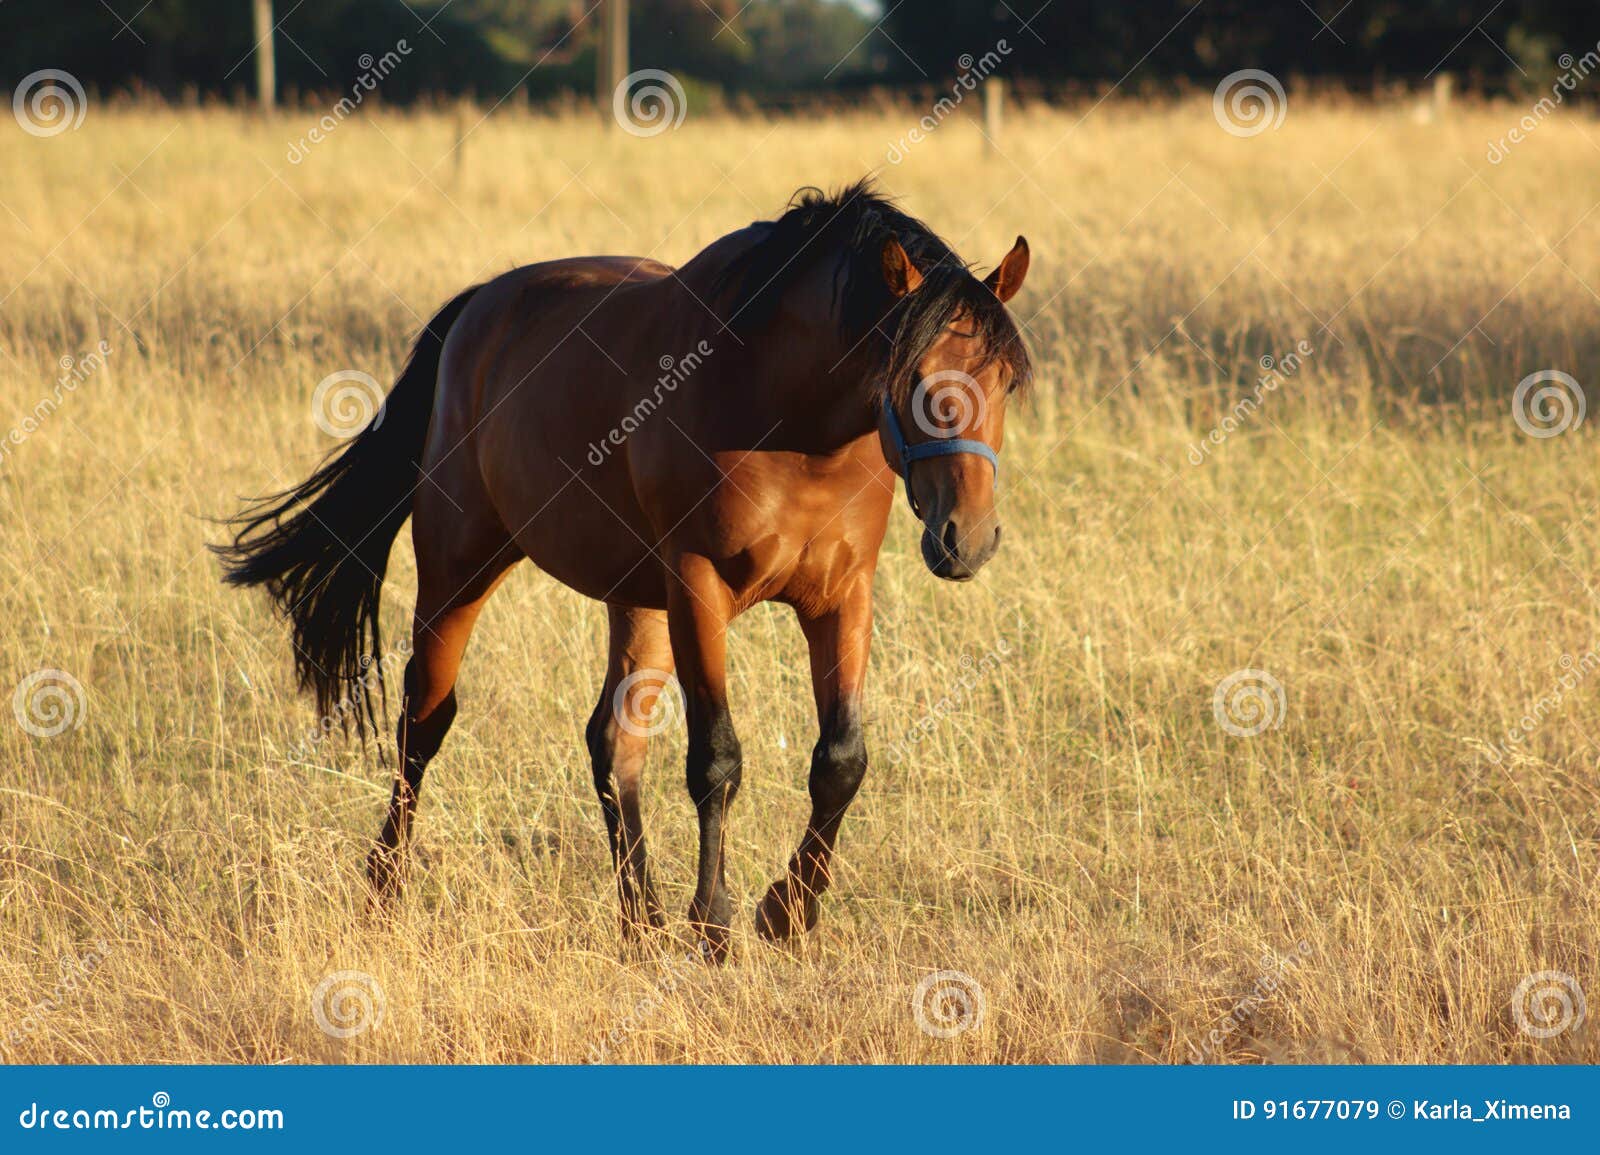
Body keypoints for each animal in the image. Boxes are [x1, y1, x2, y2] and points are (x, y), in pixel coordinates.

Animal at [216, 180, 1032, 960]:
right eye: (914, 374)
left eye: (1006, 381)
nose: (969, 536)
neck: (784, 415)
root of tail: (479, 305)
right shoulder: (699, 588)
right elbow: (717, 760)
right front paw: (715, 926)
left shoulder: (841, 598)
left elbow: (840, 761)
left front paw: (789, 914)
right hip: (460, 566)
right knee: (425, 719)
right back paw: (385, 891)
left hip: (637, 602)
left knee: (613, 744)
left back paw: (640, 922)